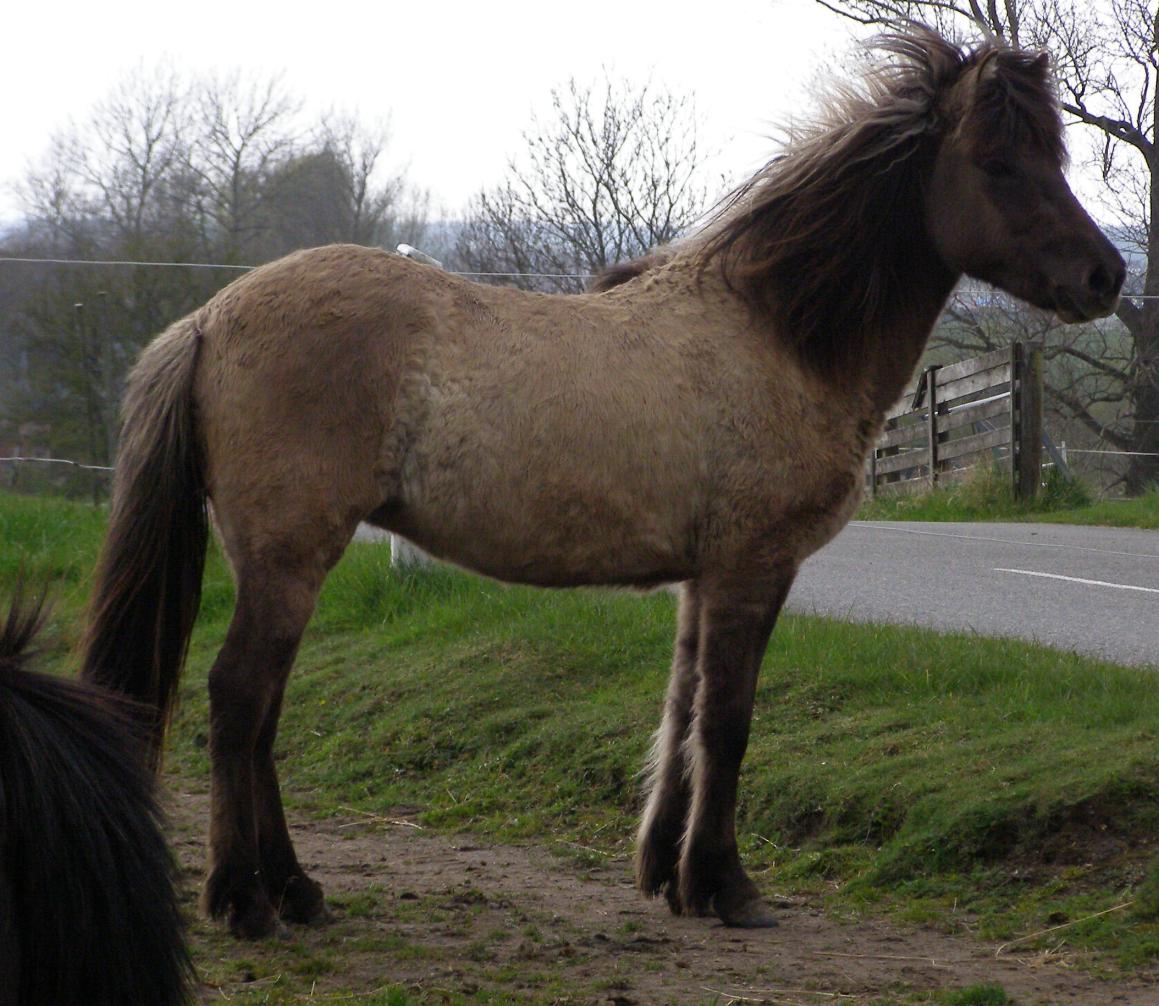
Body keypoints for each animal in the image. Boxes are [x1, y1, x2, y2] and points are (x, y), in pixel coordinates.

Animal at [74, 29, 1121, 941]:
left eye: (1054, 156)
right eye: (998, 164)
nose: (1105, 276)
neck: (776, 333)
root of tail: (210, 317)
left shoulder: (704, 578)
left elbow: (683, 713)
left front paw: (670, 875)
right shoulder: (753, 567)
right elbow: (728, 723)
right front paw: (728, 887)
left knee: (261, 716)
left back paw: (296, 890)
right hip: (290, 556)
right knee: (238, 701)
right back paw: (246, 900)